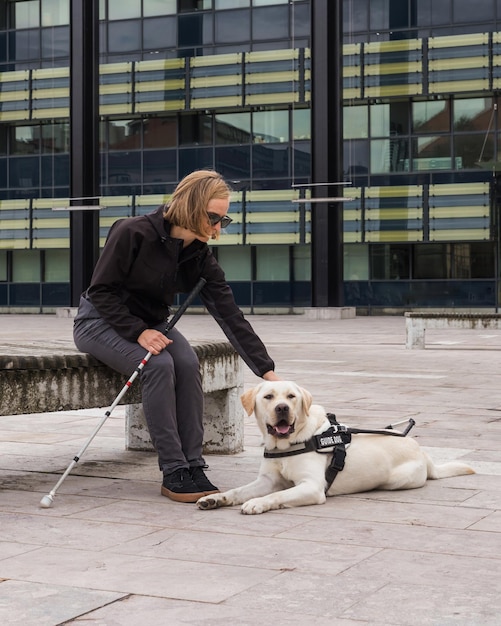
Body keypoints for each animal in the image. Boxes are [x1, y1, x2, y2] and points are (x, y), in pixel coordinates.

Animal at [197, 378, 474, 516]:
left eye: (291, 397)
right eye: (268, 397)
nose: (282, 408)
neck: (286, 446)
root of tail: (423, 452)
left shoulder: (311, 487)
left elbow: (277, 495)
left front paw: (257, 503)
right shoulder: (267, 480)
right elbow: (238, 491)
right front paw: (215, 498)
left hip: (398, 480)